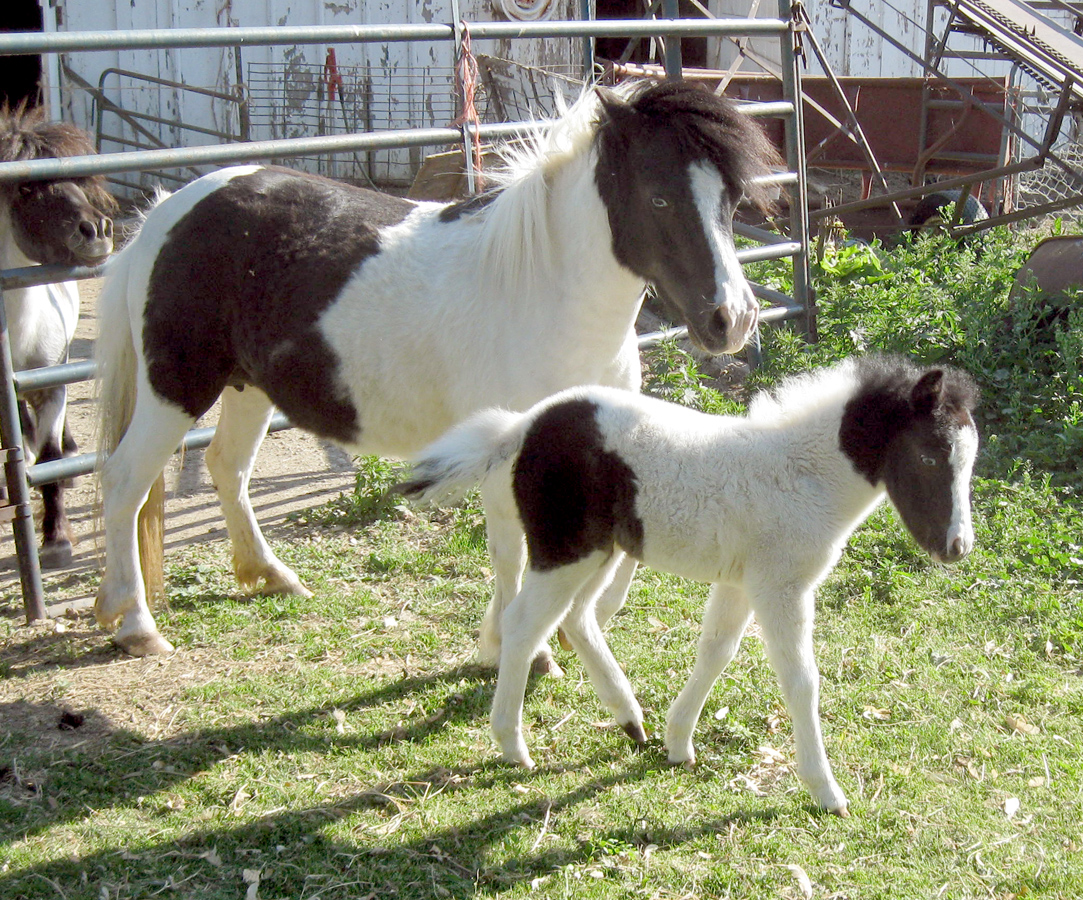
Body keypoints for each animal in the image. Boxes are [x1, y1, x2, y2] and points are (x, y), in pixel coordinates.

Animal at [93, 80, 781, 658]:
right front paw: (514, 650)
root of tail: (164, 214)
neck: (543, 294)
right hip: (176, 386)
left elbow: (620, 554)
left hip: (247, 388)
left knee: (226, 468)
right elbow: (510, 552)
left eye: (730, 201)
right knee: (125, 482)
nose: (732, 319)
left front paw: (568, 630)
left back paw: (272, 576)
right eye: (659, 196)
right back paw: (135, 625)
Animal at [397, 354, 980, 815]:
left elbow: (715, 652)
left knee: (576, 619)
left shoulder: (742, 584)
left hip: (601, 552)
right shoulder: (781, 587)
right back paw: (514, 746)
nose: (957, 547)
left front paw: (677, 742)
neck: (804, 474)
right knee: (523, 625)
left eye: (969, 460)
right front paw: (825, 790)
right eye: (929, 455)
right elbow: (800, 681)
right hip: (566, 552)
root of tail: (517, 430)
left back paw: (630, 720)